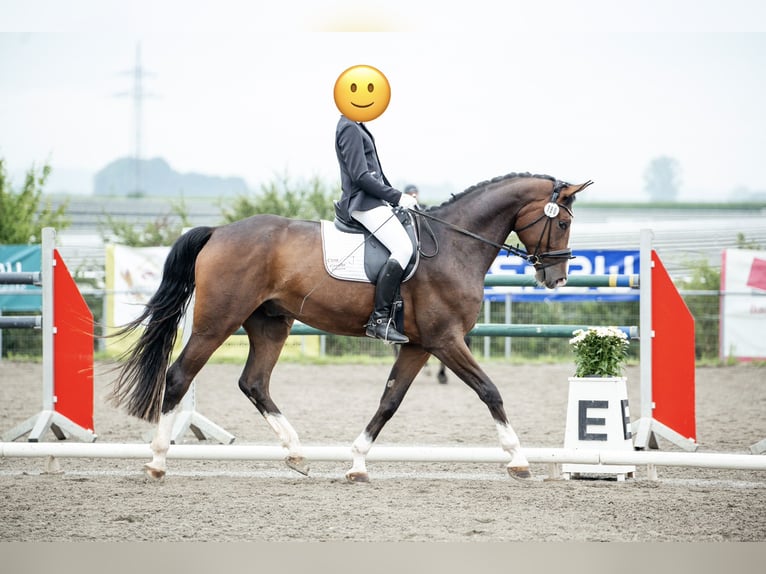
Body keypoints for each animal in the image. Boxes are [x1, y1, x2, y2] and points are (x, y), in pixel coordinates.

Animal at [111, 172, 592, 482]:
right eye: (564, 222)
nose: (557, 278)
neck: (456, 245)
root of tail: (219, 232)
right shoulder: (446, 339)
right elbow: (490, 390)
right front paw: (518, 459)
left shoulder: (418, 345)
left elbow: (389, 401)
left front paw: (357, 462)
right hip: (218, 322)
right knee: (178, 376)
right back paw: (157, 461)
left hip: (271, 323)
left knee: (254, 382)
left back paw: (297, 453)